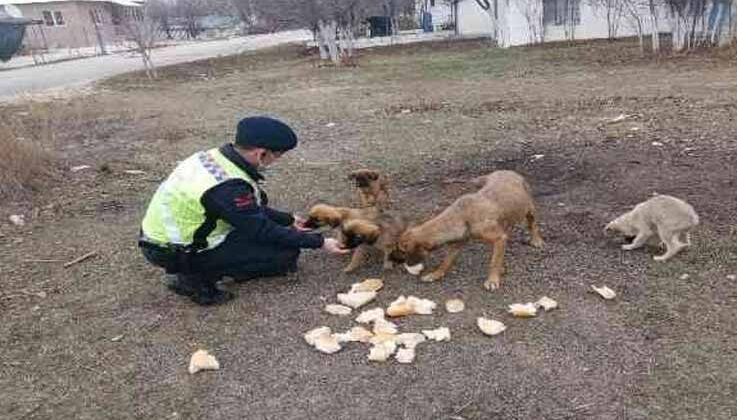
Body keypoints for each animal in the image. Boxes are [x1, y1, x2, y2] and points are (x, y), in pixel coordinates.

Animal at [392, 171, 540, 292]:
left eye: (403, 251)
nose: (394, 260)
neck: (462, 216)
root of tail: (508, 171)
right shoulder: (457, 243)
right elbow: (446, 262)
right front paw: (436, 274)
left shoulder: (499, 238)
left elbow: (494, 262)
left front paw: (492, 279)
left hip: (530, 209)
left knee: (532, 224)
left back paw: (536, 240)